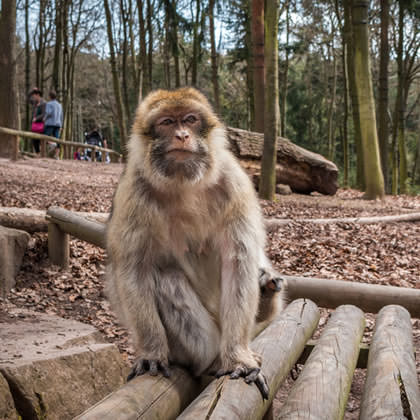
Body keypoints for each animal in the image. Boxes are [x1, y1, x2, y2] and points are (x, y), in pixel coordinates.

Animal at [106, 86, 288, 400]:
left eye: (190, 119)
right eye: (167, 122)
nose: (182, 135)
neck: (184, 185)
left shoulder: (235, 184)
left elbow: (238, 264)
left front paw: (238, 359)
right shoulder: (133, 193)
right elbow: (134, 270)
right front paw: (152, 352)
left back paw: (265, 295)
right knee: (164, 277)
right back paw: (211, 360)